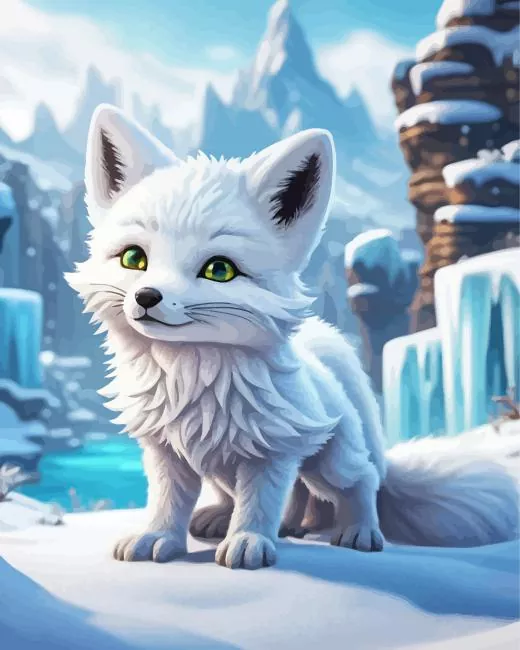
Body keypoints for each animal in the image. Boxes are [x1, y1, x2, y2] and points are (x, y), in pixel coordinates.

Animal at [66, 104, 519, 570]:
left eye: (218, 270)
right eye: (133, 259)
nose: (147, 297)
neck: (192, 378)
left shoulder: (272, 452)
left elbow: (260, 502)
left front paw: (248, 541)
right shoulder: (166, 450)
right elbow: (167, 501)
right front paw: (158, 537)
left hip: (330, 461)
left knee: (361, 480)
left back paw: (357, 531)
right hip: (231, 470)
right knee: (288, 496)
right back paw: (245, 521)